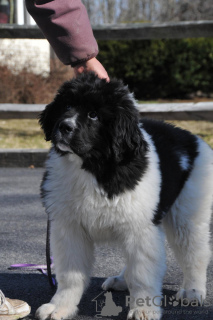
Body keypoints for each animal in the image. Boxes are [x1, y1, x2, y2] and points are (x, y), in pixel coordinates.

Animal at [35, 73, 212, 320]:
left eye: (93, 115)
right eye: (67, 106)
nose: (63, 126)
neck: (93, 167)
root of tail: (193, 139)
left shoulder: (141, 228)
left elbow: (142, 273)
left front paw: (144, 309)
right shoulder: (69, 228)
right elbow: (70, 274)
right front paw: (61, 307)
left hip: (187, 213)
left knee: (194, 251)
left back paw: (193, 291)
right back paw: (121, 280)